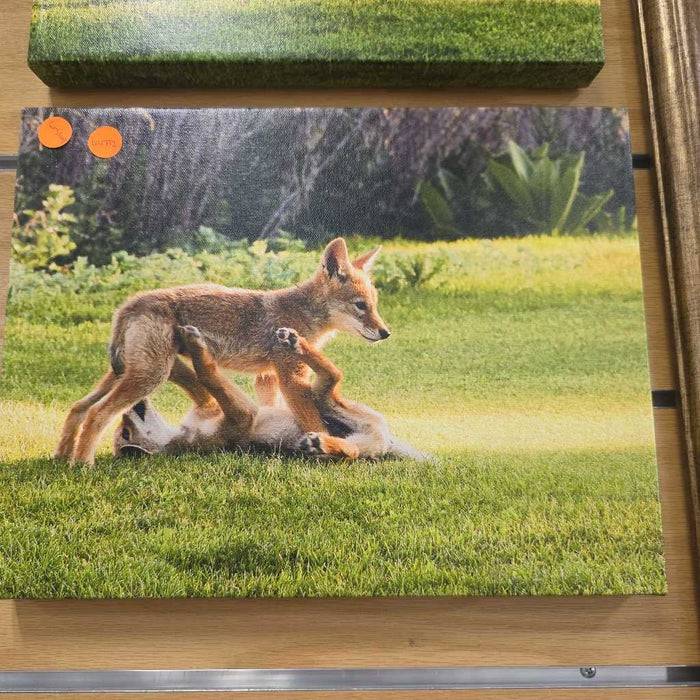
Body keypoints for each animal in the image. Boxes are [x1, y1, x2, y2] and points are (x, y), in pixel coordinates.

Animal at [56, 238, 390, 465]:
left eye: (375, 305)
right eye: (361, 306)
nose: (386, 333)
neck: (301, 313)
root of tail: (131, 302)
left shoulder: (267, 377)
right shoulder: (291, 377)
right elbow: (313, 422)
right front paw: (323, 444)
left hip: (130, 372)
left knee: (78, 408)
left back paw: (61, 458)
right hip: (151, 375)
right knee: (98, 413)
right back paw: (83, 464)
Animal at [114, 324, 424, 462]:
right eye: (125, 434)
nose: (127, 410)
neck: (183, 433)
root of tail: (387, 442)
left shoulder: (207, 403)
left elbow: (198, 378)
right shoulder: (242, 414)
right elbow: (208, 376)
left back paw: (295, 342)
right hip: (333, 405)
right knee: (334, 384)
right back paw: (321, 444)